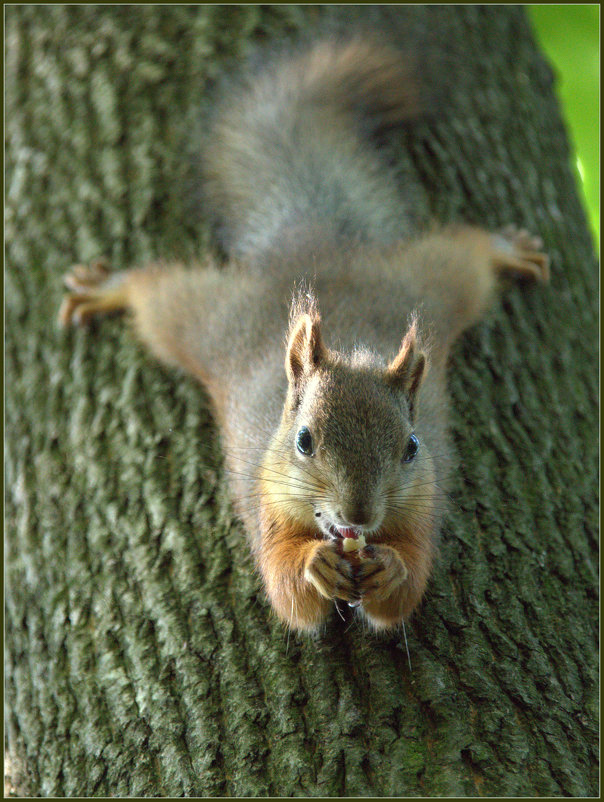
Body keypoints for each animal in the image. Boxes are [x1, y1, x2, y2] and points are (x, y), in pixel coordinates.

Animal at [59, 36, 548, 632]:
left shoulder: (422, 504)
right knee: (157, 292)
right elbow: (285, 588)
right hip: (207, 319)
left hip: (436, 285)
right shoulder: (267, 502)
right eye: (304, 441)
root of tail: (312, 241)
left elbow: (407, 588)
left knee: (466, 254)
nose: (359, 513)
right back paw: (108, 287)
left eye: (412, 447)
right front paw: (314, 565)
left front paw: (390, 569)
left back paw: (506, 248)